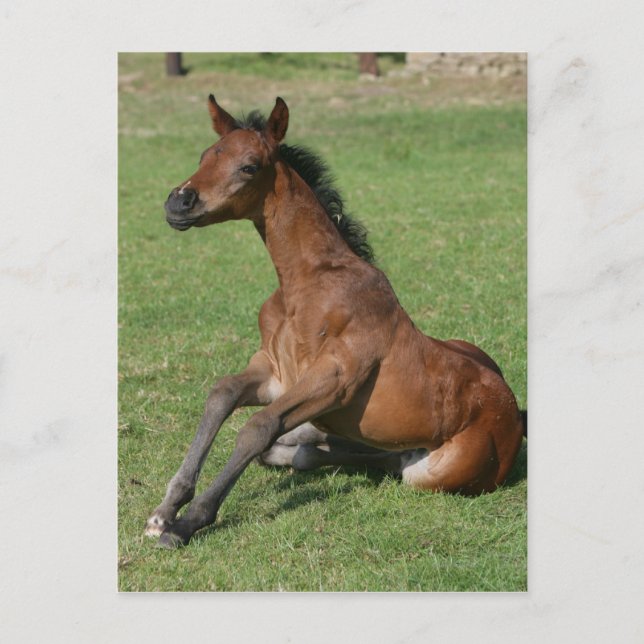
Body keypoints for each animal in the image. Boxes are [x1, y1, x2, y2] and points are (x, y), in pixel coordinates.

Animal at [145, 95, 525, 549]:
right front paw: (165, 510)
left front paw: (187, 523)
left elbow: (258, 426)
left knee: (385, 462)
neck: (306, 284)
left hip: (429, 473)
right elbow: (221, 395)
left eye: (249, 166)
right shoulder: (274, 373)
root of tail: (514, 414)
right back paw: (303, 445)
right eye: (205, 155)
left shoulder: (335, 378)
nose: (178, 203)